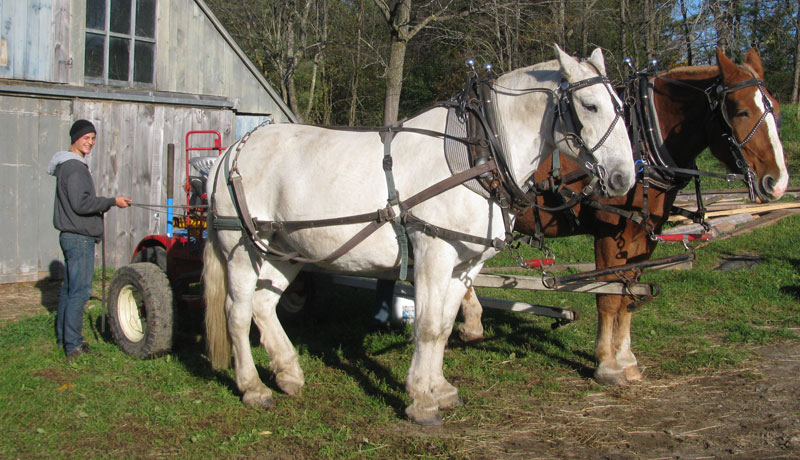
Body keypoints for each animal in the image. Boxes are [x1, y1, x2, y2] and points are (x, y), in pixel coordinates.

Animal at [203, 45, 636, 424]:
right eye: (589, 105)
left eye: (620, 103)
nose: (623, 178)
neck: (478, 153)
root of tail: (232, 151)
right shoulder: (434, 252)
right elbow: (426, 327)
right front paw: (420, 401)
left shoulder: (465, 265)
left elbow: (443, 327)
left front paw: (440, 389)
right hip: (242, 250)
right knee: (238, 313)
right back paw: (253, 388)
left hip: (284, 250)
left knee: (263, 305)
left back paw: (289, 373)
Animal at [456, 47, 788, 384]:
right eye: (741, 112)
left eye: (775, 107)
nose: (778, 182)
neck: (646, 145)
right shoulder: (609, 234)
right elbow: (609, 296)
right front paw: (607, 363)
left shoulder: (642, 235)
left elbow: (628, 296)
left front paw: (626, 358)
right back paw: (471, 320)